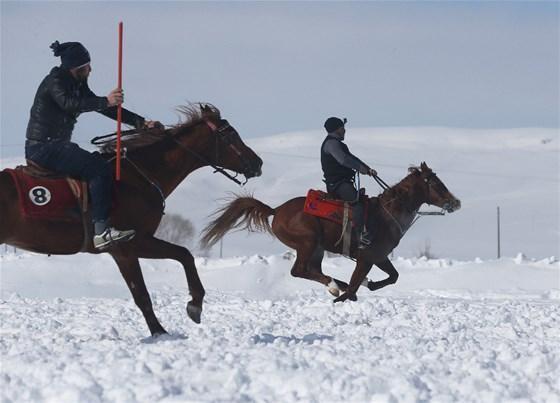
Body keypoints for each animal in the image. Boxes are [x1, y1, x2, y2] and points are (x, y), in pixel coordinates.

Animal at [0, 105, 264, 338]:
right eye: (230, 134)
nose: (258, 163)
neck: (136, 178)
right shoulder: (130, 245)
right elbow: (152, 285)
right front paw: (170, 324)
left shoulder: (133, 246)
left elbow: (175, 262)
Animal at [201, 163, 460, 302]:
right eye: (434, 182)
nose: (455, 202)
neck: (388, 213)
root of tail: (276, 210)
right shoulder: (367, 257)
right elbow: (358, 281)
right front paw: (348, 294)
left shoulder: (380, 257)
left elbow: (393, 276)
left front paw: (368, 286)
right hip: (307, 243)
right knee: (300, 271)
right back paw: (336, 286)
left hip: (316, 249)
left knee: (312, 271)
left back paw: (337, 284)